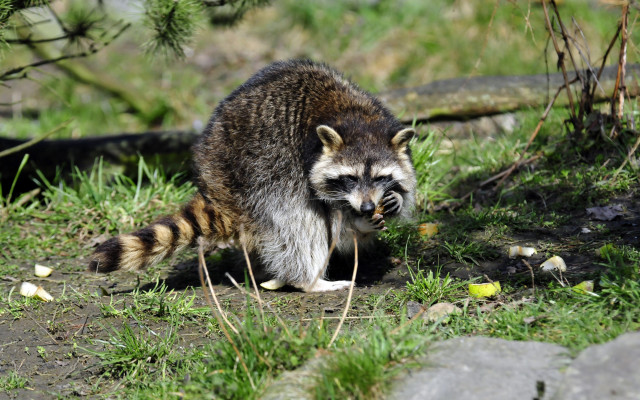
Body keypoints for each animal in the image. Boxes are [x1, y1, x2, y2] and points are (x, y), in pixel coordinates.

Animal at [88, 59, 416, 292]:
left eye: (380, 178)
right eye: (350, 178)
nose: (367, 207)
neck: (356, 117)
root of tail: (212, 183)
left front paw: (389, 204)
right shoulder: (300, 157)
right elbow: (323, 217)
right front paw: (356, 224)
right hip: (256, 172)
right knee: (297, 219)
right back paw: (308, 280)